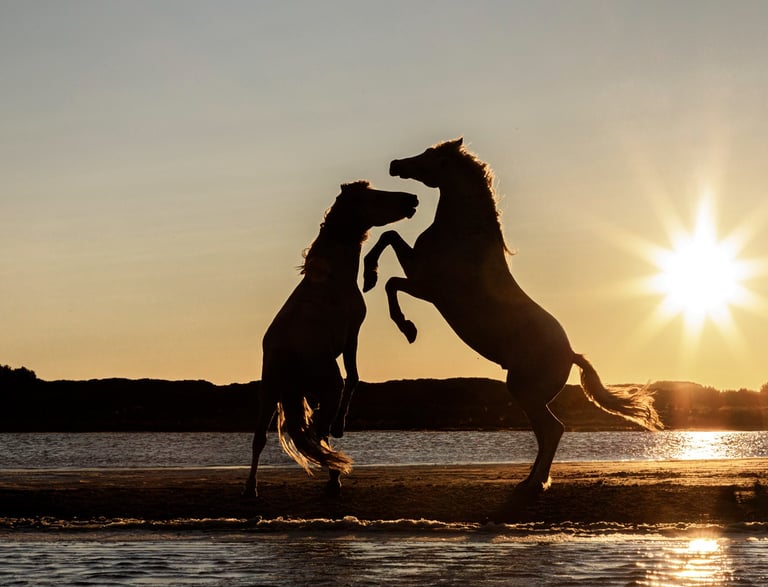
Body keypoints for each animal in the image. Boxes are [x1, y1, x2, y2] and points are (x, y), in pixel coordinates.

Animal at [243, 180, 418, 498]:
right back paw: (333, 478)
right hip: (323, 387)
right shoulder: (352, 336)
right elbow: (354, 377)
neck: (333, 276)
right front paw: (341, 425)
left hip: (270, 394)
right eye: (375, 196)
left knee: (262, 438)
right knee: (319, 431)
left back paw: (252, 488)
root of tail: (286, 355)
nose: (412, 199)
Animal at [362, 138, 662, 493]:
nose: (395, 165)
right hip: (528, 394)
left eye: (432, 156)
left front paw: (403, 322)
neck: (461, 236)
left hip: (524, 392)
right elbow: (389, 240)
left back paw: (533, 484)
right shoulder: (422, 281)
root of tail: (570, 354)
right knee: (549, 433)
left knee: (552, 430)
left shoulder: (426, 286)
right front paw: (369, 276)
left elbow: (391, 276)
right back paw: (533, 480)